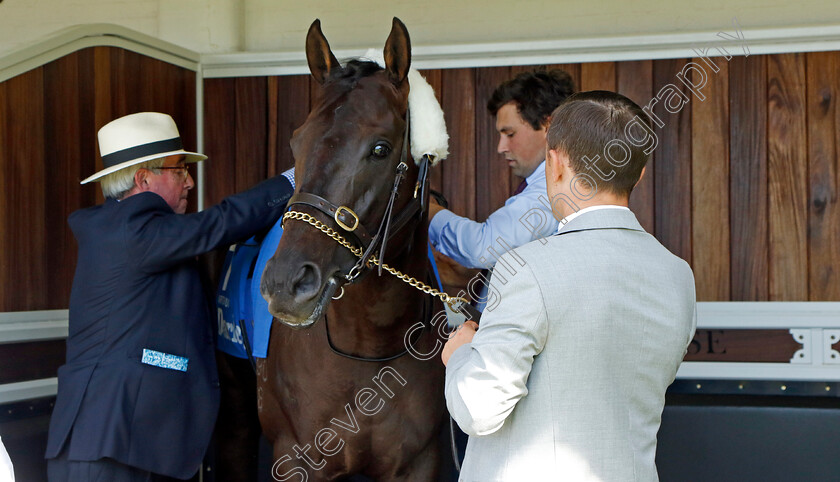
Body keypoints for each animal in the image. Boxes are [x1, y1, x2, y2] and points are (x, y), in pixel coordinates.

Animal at [260, 17, 450, 480]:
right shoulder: (298, 459)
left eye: (380, 148)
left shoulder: (419, 462)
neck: (369, 348)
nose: (286, 282)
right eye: (296, 142)